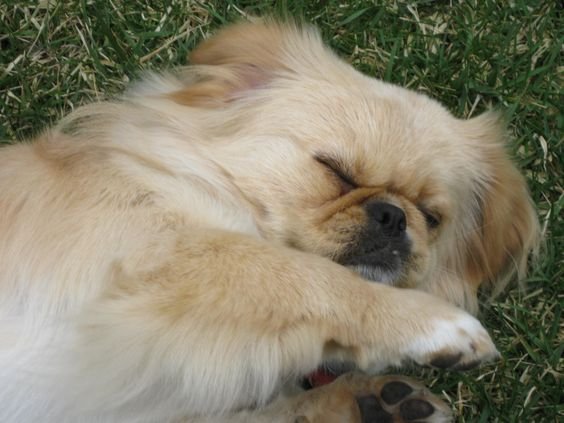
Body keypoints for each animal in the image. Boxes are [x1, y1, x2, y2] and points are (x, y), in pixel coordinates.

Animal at [0, 20, 536, 423]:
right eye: (335, 171)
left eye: (430, 216)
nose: (392, 215)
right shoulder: (159, 255)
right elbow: (308, 277)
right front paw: (434, 324)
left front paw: (360, 405)